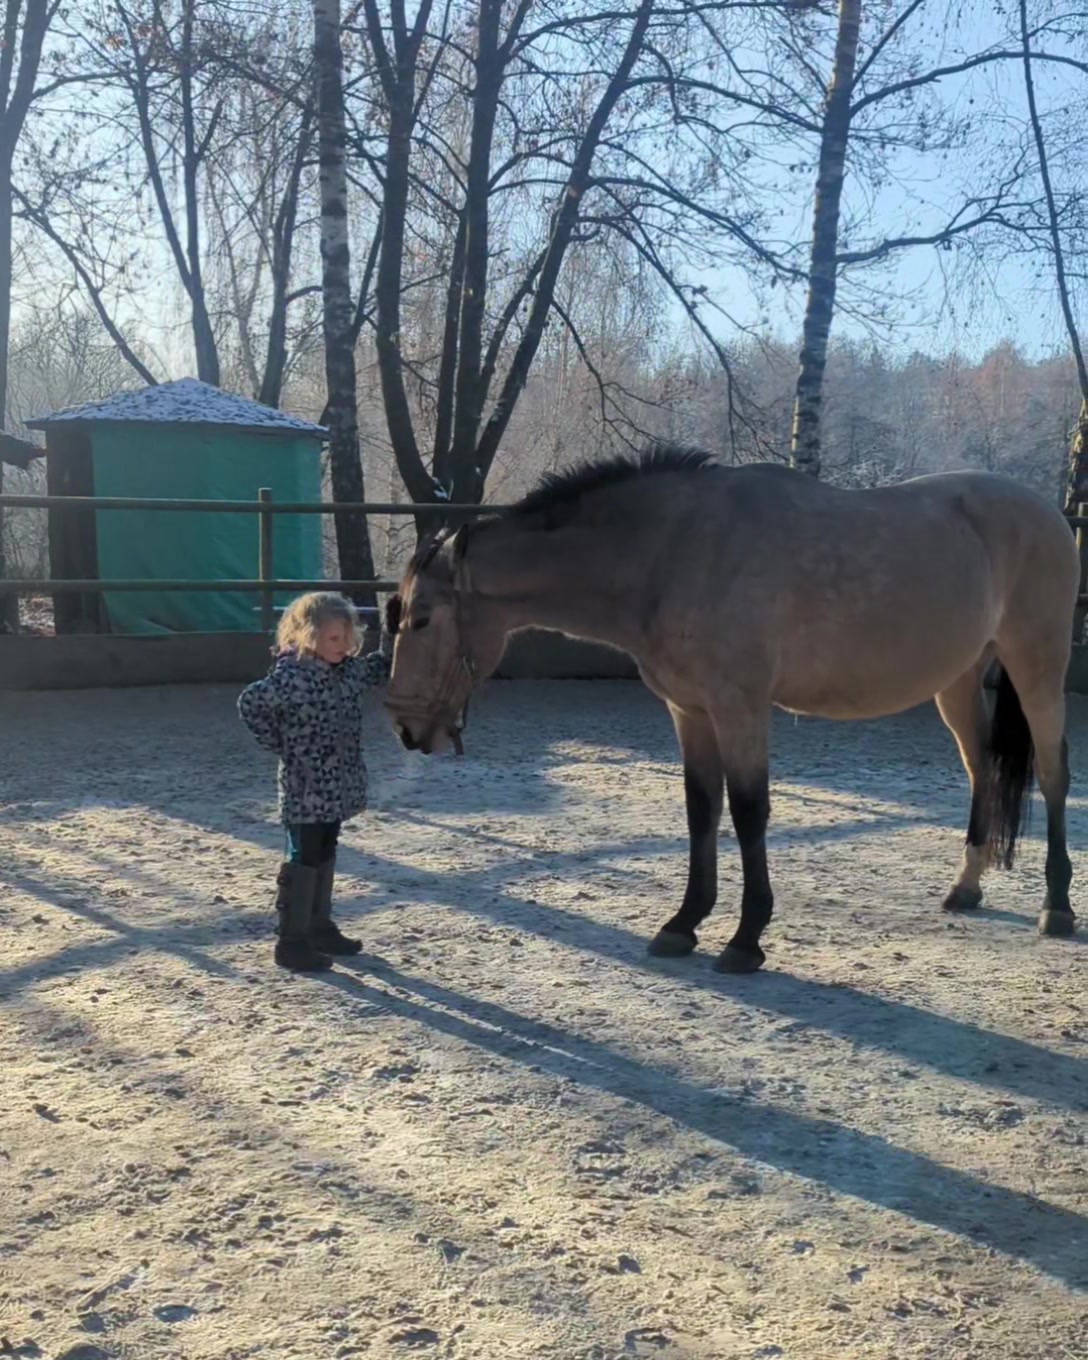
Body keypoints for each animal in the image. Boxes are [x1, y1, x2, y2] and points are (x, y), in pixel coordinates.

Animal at [383, 444, 1079, 974]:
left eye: (421, 619)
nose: (406, 728)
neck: (674, 550)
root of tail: (1048, 512)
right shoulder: (690, 712)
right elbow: (702, 810)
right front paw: (683, 923)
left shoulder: (740, 708)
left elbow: (748, 813)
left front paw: (746, 939)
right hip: (956, 681)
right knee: (982, 766)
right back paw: (967, 886)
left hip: (1038, 666)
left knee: (1053, 774)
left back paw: (1058, 906)